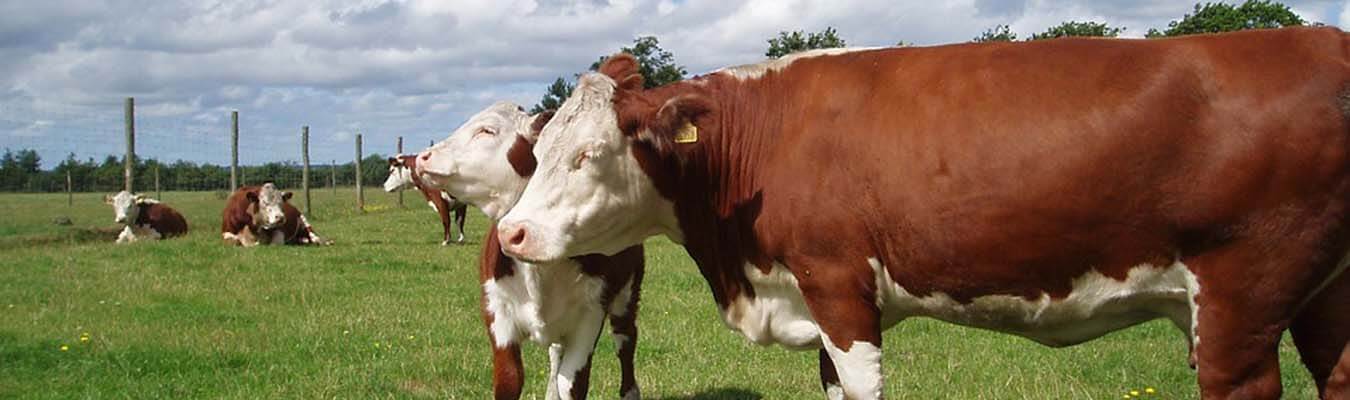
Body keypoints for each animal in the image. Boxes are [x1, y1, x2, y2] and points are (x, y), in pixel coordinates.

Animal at [416, 101, 645, 400]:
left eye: (487, 130)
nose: (423, 157)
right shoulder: (497, 312)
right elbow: (509, 379)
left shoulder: (590, 315)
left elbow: (572, 384)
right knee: (556, 353)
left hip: (627, 294)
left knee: (625, 341)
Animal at [496, 27, 1350, 399]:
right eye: (538, 150)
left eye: (588, 155)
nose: (510, 232)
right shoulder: (818, 299)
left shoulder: (838, 284)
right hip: (1322, 295)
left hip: (1241, 296)